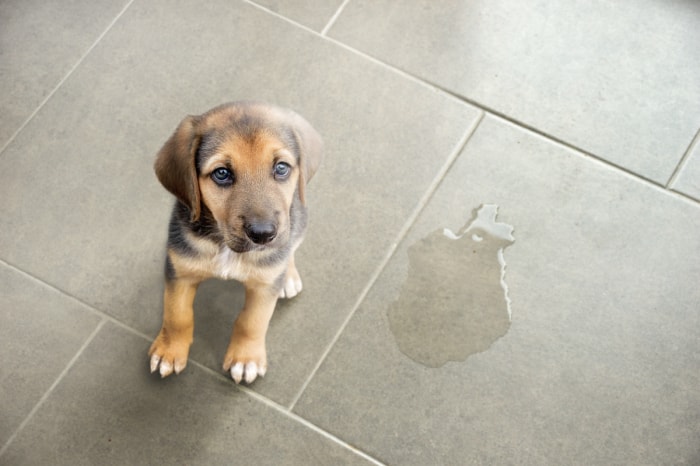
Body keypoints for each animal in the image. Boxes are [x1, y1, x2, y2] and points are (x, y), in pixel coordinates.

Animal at [150, 101, 322, 382]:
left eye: (281, 168)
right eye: (222, 173)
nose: (263, 234)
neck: (225, 246)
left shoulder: (264, 287)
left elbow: (252, 321)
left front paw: (246, 358)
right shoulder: (181, 272)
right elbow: (177, 314)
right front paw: (169, 350)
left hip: (298, 223)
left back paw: (288, 276)